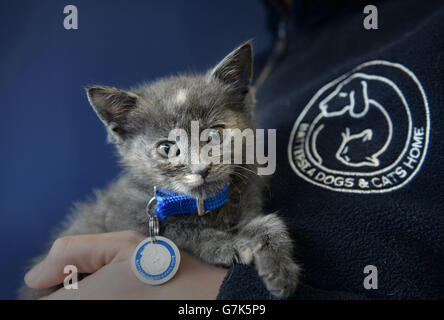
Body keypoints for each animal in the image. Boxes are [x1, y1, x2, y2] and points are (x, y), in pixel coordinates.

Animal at [19, 41, 300, 298]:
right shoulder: (127, 218)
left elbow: (269, 222)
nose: (202, 169)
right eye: (167, 148)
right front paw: (225, 245)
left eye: (213, 135)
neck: (204, 207)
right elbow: (180, 230)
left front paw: (280, 269)